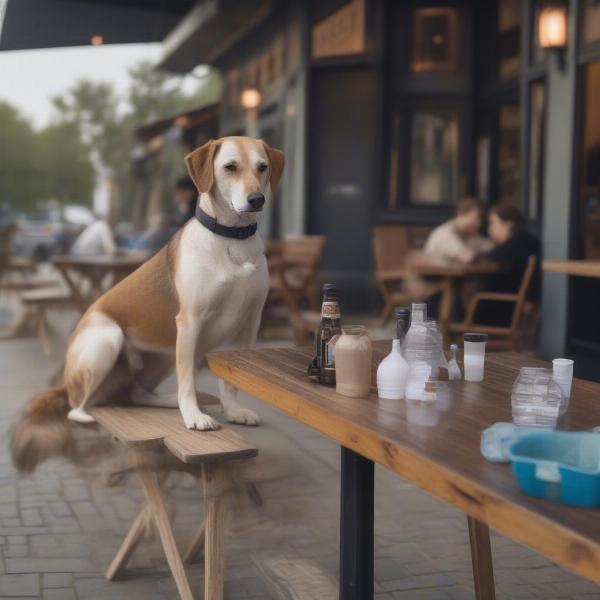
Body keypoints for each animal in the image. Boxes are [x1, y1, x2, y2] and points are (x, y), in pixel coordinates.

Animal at [11, 136, 284, 474]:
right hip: (109, 340)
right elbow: (187, 380)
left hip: (166, 353)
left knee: (138, 392)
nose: (256, 199)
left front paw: (233, 410)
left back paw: (167, 401)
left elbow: (230, 381)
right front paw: (194, 416)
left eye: (263, 167)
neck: (232, 239)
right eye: (230, 167)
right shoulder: (191, 322)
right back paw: (92, 414)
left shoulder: (250, 323)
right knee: (78, 406)